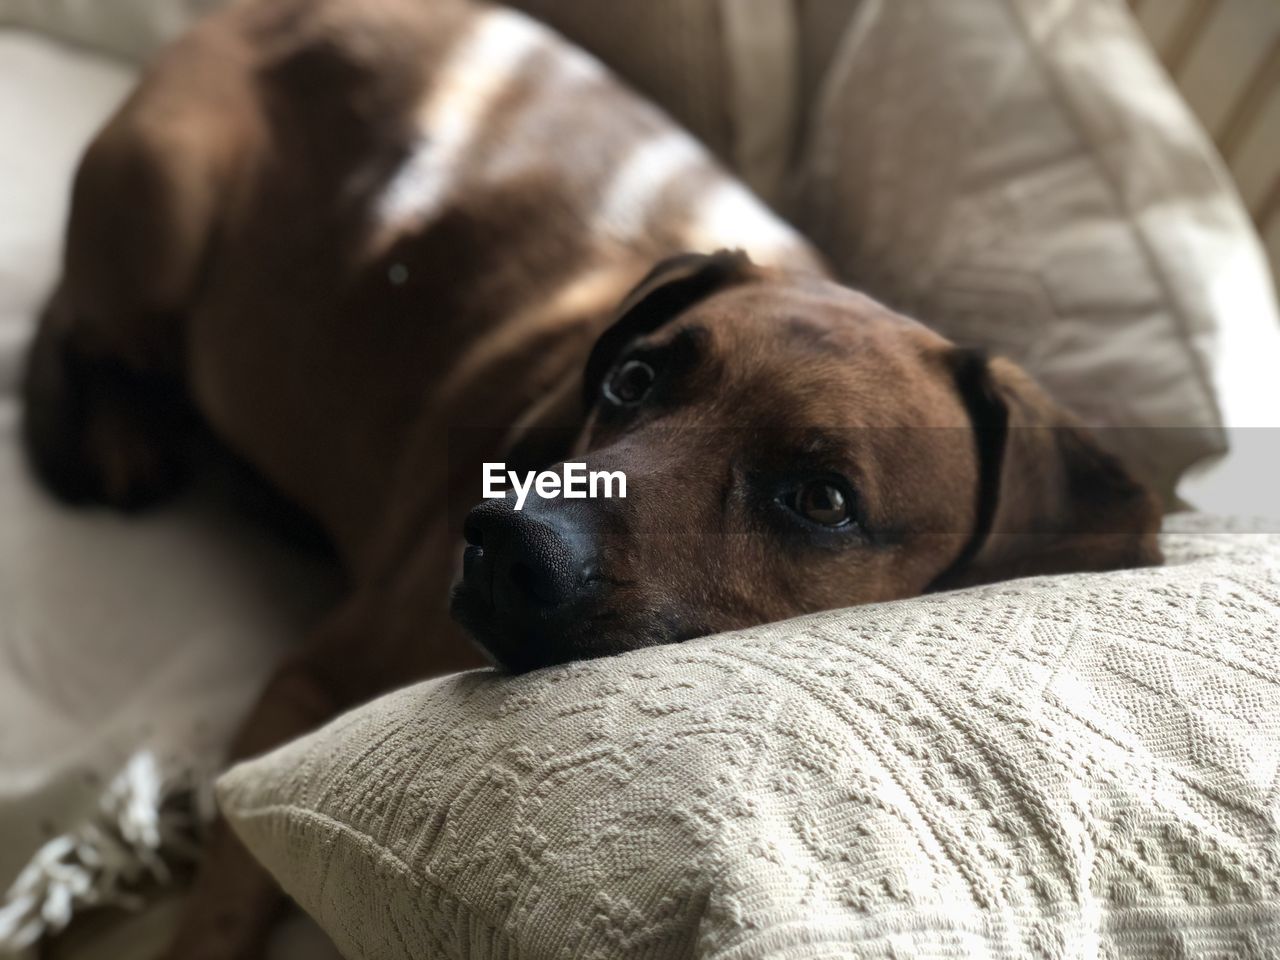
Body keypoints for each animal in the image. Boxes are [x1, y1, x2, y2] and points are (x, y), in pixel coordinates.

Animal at [22, 1, 1162, 960]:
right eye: (632, 378)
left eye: (822, 500)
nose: (506, 541)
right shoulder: (301, 695)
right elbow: (226, 905)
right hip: (165, 202)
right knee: (74, 320)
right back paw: (113, 426)